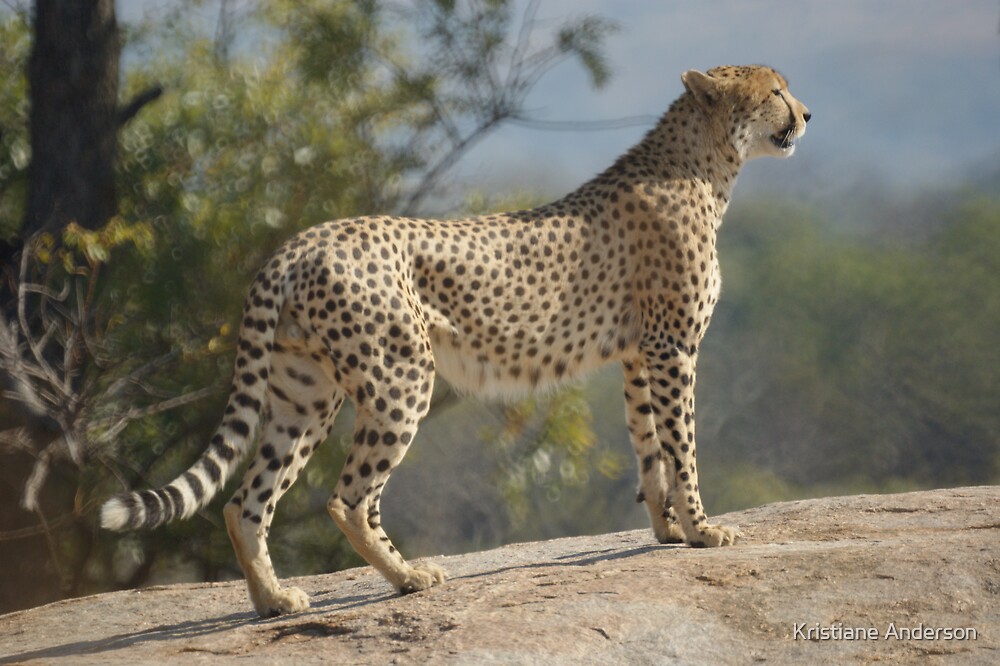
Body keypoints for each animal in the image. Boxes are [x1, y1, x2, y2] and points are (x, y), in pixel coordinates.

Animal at [101, 65, 810, 618]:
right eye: (776, 89)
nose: (805, 113)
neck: (705, 164)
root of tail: (300, 240)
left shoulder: (639, 354)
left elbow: (649, 447)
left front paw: (666, 530)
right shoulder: (671, 348)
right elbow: (682, 446)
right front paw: (703, 530)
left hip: (304, 394)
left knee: (245, 501)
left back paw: (273, 601)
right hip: (400, 379)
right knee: (347, 498)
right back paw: (408, 578)